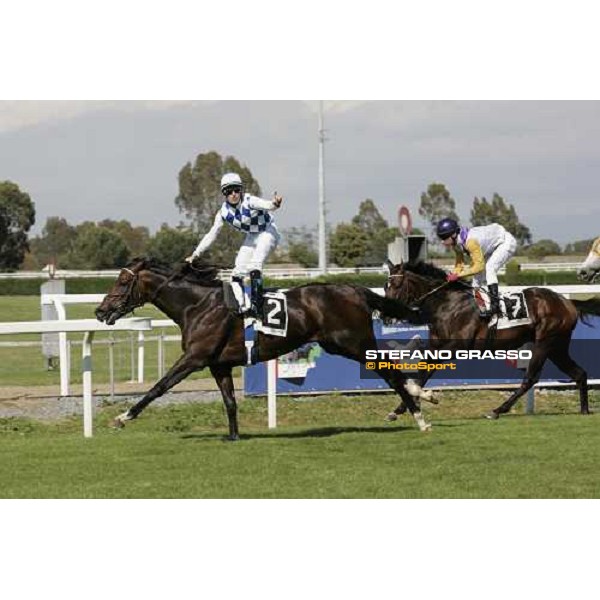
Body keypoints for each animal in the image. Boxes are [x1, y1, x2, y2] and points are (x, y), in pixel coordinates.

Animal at [95, 255, 432, 438]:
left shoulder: (195, 357)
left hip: (352, 342)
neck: (197, 305)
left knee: (389, 370)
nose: (100, 311)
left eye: (122, 283)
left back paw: (420, 415)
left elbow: (159, 386)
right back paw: (421, 396)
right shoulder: (219, 365)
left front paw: (123, 417)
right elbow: (230, 402)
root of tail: (355, 289)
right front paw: (233, 437)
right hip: (342, 344)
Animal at [382, 260, 600, 420]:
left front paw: (408, 405)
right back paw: (584, 410)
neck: (447, 303)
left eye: (397, 285)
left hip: (545, 343)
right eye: (385, 286)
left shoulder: (456, 345)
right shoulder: (436, 346)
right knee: (579, 373)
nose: (385, 316)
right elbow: (423, 371)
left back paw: (497, 410)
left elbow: (426, 370)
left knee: (530, 378)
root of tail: (567, 302)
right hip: (557, 347)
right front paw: (401, 408)